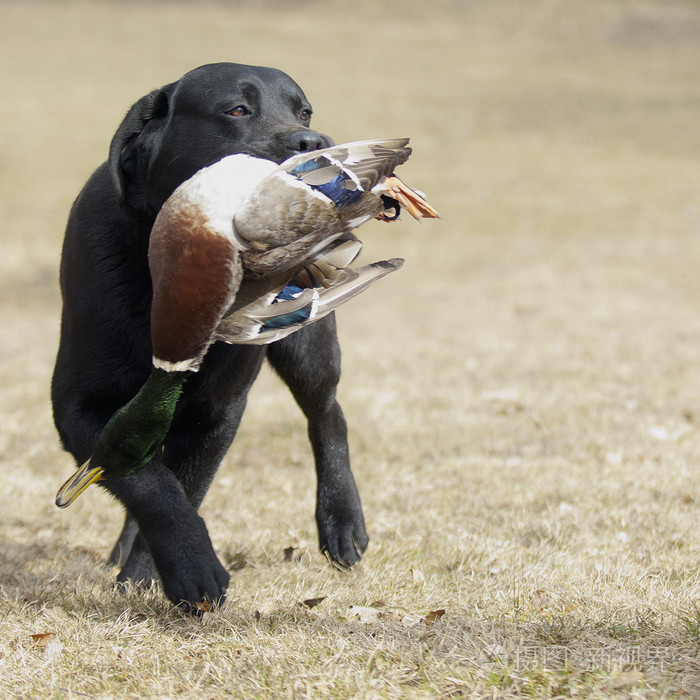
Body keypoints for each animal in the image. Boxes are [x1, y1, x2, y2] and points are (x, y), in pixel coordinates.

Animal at [52, 64, 370, 612]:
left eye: (305, 112)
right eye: (236, 110)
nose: (315, 142)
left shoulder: (216, 409)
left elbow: (182, 484)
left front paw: (162, 575)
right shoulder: (77, 406)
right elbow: (149, 482)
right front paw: (184, 568)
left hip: (307, 342)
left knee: (328, 415)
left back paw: (343, 525)